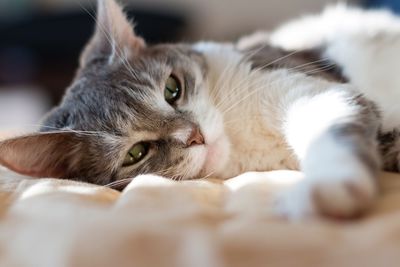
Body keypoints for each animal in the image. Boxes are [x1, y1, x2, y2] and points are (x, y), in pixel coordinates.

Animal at [0, 0, 400, 220]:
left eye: (172, 90)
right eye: (136, 153)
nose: (194, 136)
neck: (242, 140)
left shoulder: (309, 88)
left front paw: (329, 187)